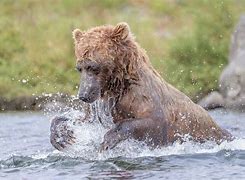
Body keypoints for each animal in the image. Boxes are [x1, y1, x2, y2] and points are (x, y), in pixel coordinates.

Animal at [49, 22, 232, 152]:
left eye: (93, 66)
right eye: (79, 67)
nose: (84, 95)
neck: (117, 86)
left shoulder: (141, 97)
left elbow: (154, 121)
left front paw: (108, 140)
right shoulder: (102, 103)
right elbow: (83, 119)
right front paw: (62, 137)